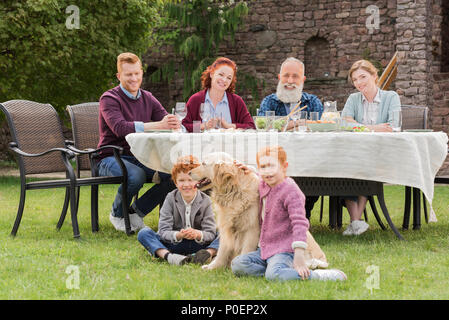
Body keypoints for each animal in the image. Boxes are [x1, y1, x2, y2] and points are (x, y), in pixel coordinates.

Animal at [189, 152, 328, 270]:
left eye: (203, 163)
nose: (189, 172)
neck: (233, 191)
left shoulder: (251, 229)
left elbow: (245, 250)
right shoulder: (226, 228)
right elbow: (223, 250)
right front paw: (213, 267)